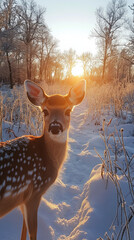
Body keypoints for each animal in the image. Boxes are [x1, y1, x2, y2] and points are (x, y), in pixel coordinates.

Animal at [0, 79, 86, 239]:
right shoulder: (35, 191)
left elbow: (23, 229)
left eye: (68, 111)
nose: (55, 127)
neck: (48, 156)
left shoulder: (22, 198)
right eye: (44, 111)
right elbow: (33, 230)